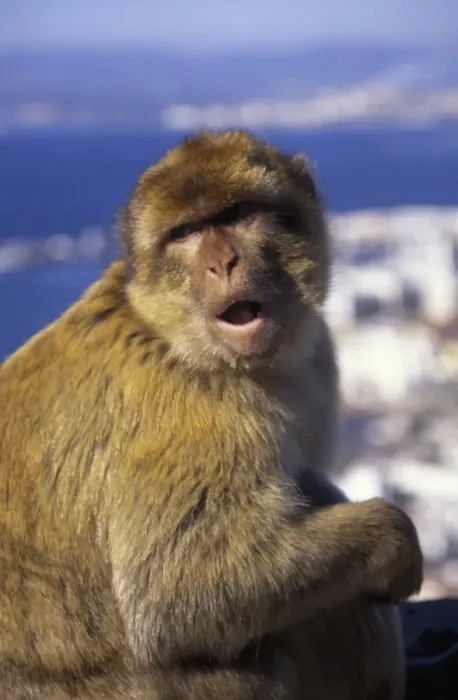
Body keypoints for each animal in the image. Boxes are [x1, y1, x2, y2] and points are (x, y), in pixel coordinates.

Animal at [0, 129, 423, 699]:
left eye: (237, 213)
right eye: (185, 233)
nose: (221, 263)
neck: (169, 333)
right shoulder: (195, 415)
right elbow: (180, 597)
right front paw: (393, 539)